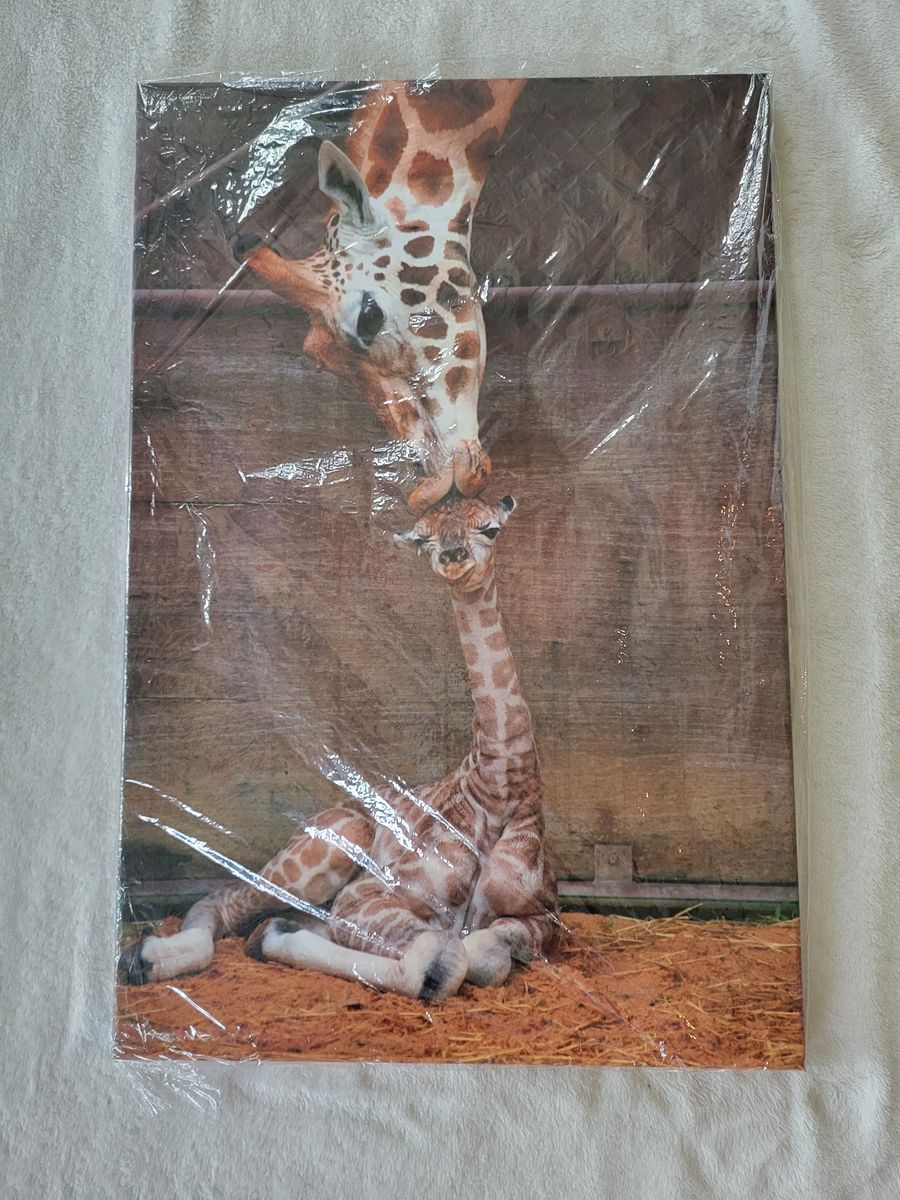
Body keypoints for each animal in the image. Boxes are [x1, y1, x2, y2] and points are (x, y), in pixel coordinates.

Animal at [119, 494, 560, 1002]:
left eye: (490, 528)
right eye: (423, 538)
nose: (453, 558)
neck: (501, 785)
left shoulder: (546, 918)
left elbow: (488, 954)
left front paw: (277, 937)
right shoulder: (366, 894)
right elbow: (440, 961)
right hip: (329, 848)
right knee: (225, 900)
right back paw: (143, 957)